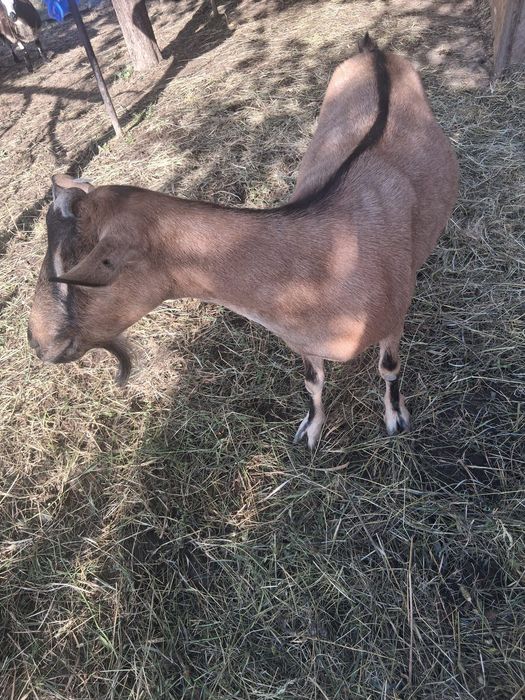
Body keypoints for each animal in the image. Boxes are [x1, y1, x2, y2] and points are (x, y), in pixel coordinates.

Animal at [28, 34, 458, 449]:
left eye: (77, 272)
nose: (36, 341)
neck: (324, 261)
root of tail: (373, 52)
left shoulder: (393, 319)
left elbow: (390, 369)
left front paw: (395, 418)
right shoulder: (300, 342)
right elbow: (312, 383)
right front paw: (310, 430)